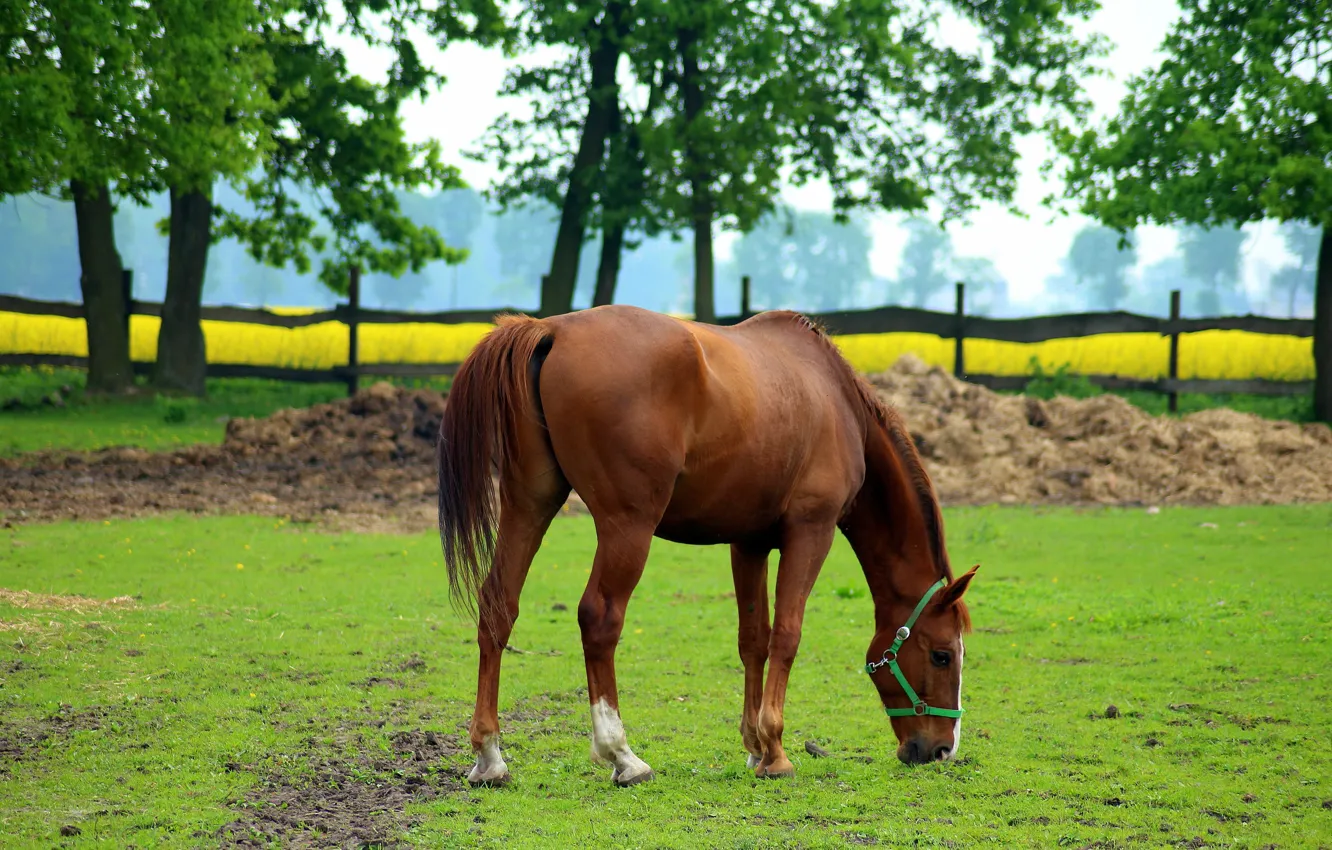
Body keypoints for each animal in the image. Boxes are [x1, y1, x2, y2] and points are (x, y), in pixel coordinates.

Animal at [437, 304, 977, 787]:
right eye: (942, 655)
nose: (942, 749)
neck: (835, 401)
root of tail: (552, 329)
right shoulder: (811, 531)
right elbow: (787, 635)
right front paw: (777, 752)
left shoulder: (749, 542)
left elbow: (753, 638)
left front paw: (756, 748)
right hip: (626, 525)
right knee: (599, 618)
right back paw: (622, 755)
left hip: (530, 504)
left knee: (499, 606)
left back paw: (490, 756)